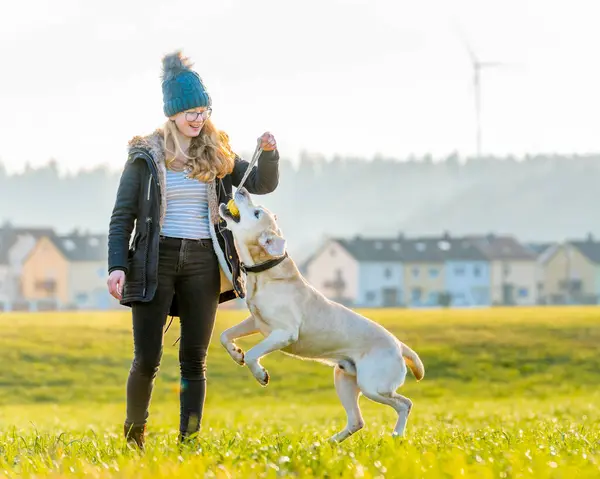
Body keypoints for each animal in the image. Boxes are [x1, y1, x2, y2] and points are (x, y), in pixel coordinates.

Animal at [218, 188, 424, 442]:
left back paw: (396, 435)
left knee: (405, 404)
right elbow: (225, 335)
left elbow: (253, 353)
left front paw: (260, 374)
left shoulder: (284, 333)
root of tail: (399, 345)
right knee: (357, 421)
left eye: (257, 213)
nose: (242, 190)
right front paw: (236, 353)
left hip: (373, 385)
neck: (266, 272)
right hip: (344, 378)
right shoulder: (254, 321)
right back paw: (325, 444)